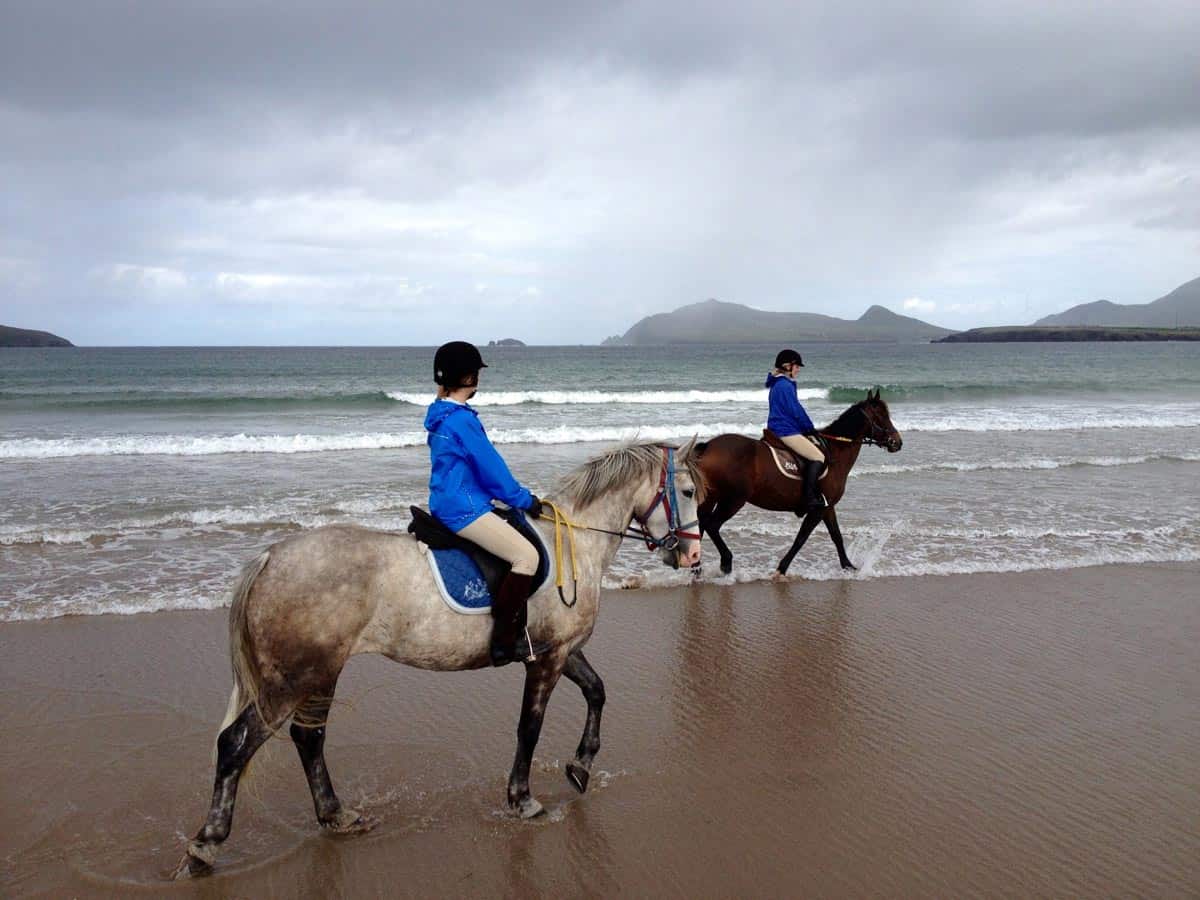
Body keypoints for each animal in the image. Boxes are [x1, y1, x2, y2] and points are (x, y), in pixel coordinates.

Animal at [176, 444, 700, 883]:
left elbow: (597, 691)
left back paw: (336, 816)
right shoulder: (547, 659)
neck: (573, 543)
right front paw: (523, 799)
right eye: (689, 492)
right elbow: (529, 728)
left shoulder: (563, 650)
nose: (693, 554)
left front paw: (581, 766)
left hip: (321, 673)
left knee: (309, 739)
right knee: (237, 744)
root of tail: (270, 557)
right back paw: (205, 846)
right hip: (292, 680)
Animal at [696, 393, 902, 578]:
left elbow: (836, 536)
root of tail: (709, 447)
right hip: (733, 500)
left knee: (700, 526)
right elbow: (801, 538)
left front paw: (848, 567)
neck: (835, 451)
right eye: (881, 416)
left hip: (711, 499)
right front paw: (781, 569)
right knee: (712, 525)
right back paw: (725, 562)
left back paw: (696, 568)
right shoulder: (818, 509)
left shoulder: (828, 507)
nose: (897, 442)